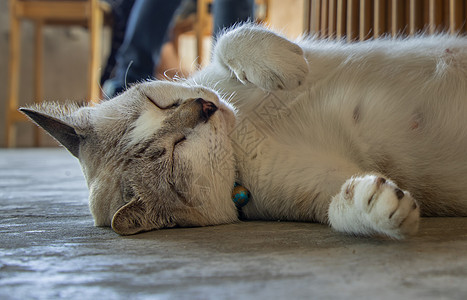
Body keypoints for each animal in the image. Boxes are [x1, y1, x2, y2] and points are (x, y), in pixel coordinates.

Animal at [22, 23, 467, 239]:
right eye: (174, 153)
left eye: (155, 103)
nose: (204, 108)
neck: (242, 132)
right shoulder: (317, 186)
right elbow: (337, 207)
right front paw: (379, 206)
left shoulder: (216, 73)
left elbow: (228, 37)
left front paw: (286, 67)